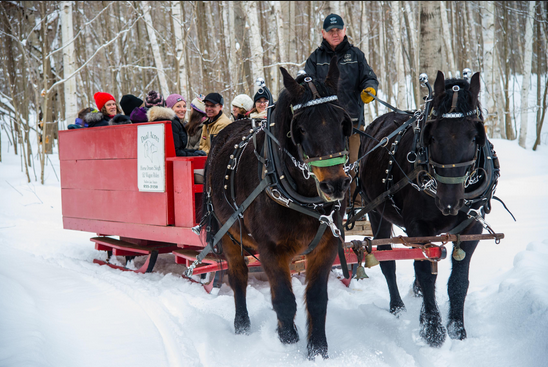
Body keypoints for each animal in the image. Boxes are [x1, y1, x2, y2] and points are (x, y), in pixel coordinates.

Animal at [201, 59, 352, 360]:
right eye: (300, 129)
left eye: (343, 123)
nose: (335, 184)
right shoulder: (270, 248)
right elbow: (283, 298)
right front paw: (287, 340)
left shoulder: (326, 245)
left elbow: (316, 300)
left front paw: (318, 349)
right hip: (229, 234)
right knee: (238, 277)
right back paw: (242, 324)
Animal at [358, 71, 498, 348]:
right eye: (432, 137)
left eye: (474, 137)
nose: (449, 202)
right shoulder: (418, 226)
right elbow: (425, 272)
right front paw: (433, 330)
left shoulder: (472, 226)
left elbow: (458, 280)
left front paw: (457, 329)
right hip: (376, 212)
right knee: (387, 259)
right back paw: (397, 307)